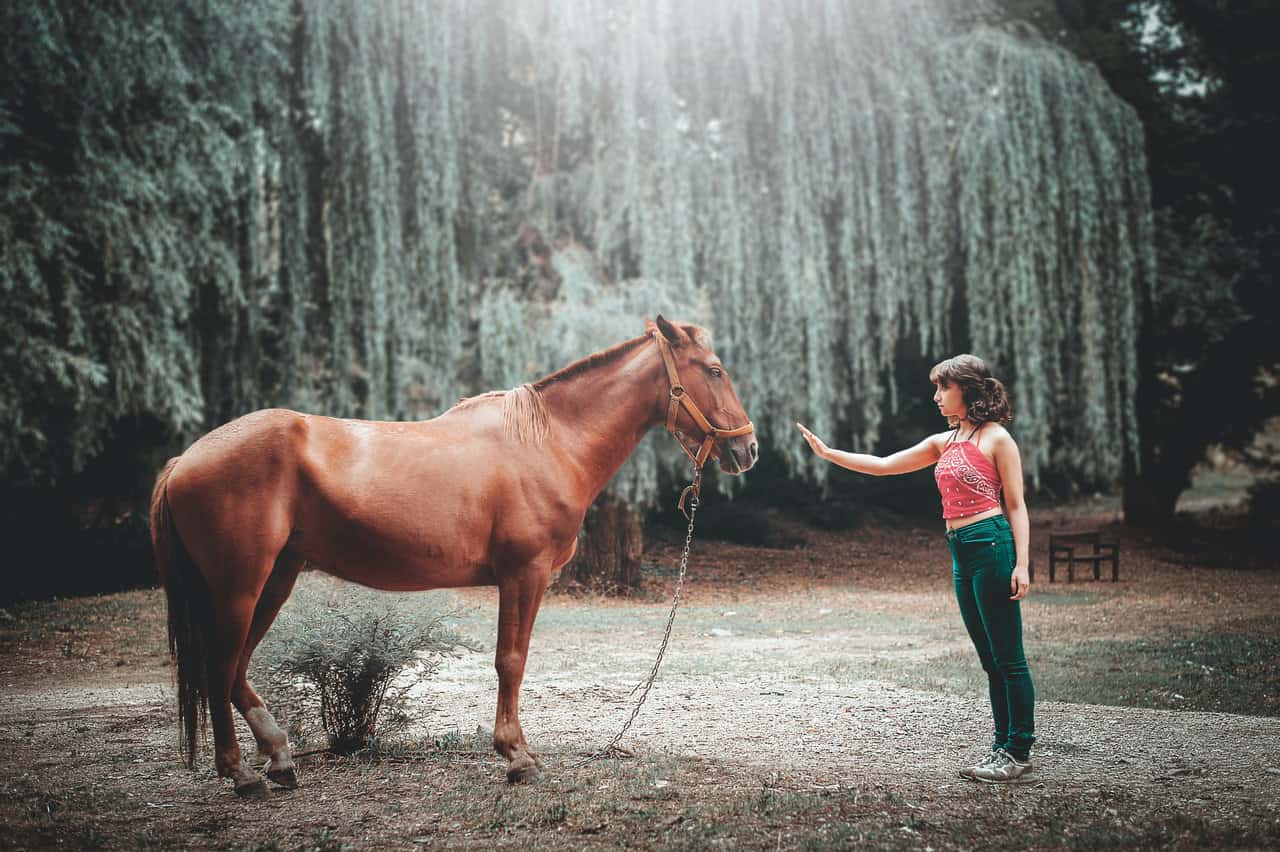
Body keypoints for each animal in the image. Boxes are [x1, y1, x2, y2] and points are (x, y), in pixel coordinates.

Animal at [150, 315, 757, 797]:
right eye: (714, 370)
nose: (747, 449)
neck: (547, 441)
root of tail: (185, 459)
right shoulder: (524, 574)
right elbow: (511, 660)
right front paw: (517, 757)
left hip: (275, 579)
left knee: (234, 668)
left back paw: (278, 758)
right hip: (239, 587)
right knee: (220, 666)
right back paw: (242, 774)